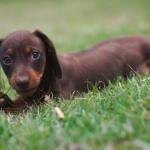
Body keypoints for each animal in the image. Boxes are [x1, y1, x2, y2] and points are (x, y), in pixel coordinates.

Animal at [0, 29, 150, 111]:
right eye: (6, 59)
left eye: (35, 54)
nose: (22, 82)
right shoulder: (26, 97)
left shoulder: (61, 99)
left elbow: (24, 109)